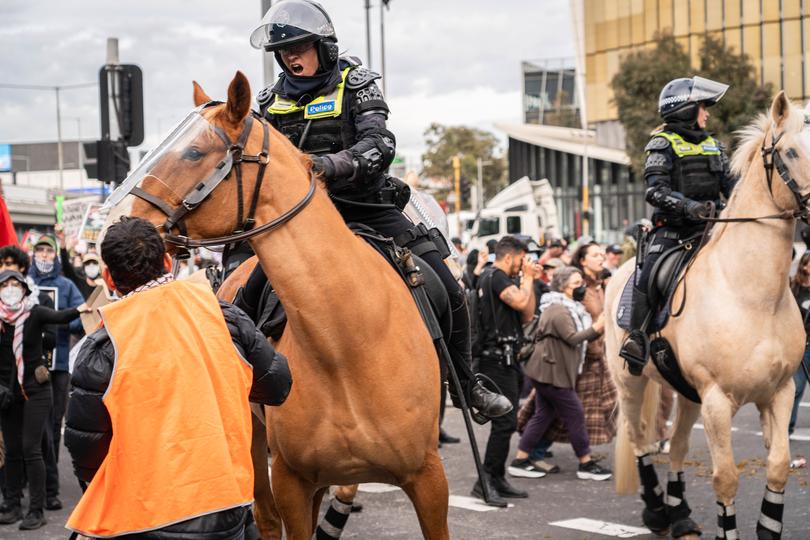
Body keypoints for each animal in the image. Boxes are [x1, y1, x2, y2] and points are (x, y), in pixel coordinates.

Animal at [101, 73, 448, 540]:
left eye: (193, 152)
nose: (112, 224)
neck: (347, 344)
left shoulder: (428, 479)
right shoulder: (290, 481)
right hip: (253, 441)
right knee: (264, 516)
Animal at [604, 90, 804, 536]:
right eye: (791, 151)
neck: (752, 296)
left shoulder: (780, 392)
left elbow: (779, 464)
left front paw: (768, 527)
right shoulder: (717, 399)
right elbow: (725, 477)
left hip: (685, 392)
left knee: (677, 445)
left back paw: (679, 514)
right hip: (631, 382)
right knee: (640, 439)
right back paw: (657, 511)